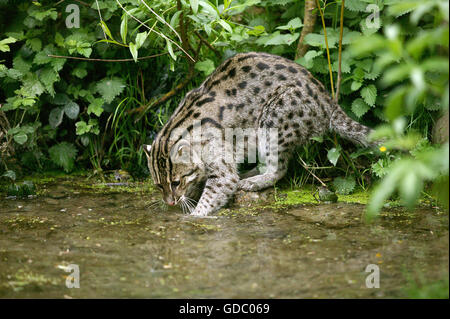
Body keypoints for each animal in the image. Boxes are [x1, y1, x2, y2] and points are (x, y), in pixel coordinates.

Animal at [143, 52, 372, 218]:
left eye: (175, 182)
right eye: (158, 185)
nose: (169, 202)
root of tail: (328, 100)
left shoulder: (220, 159)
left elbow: (218, 188)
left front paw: (195, 215)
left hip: (275, 121)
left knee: (279, 168)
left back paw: (256, 180)